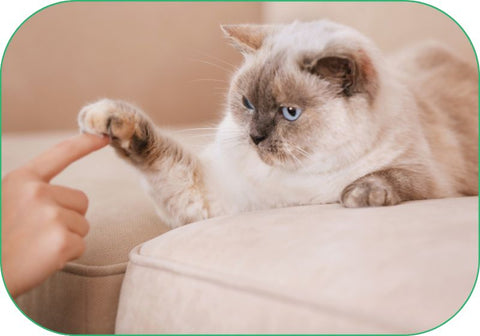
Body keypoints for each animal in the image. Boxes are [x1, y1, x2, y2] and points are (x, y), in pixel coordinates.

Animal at [77, 19, 478, 228]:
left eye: (290, 113)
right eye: (247, 104)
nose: (255, 137)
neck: (295, 181)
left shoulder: (433, 178)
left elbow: (391, 177)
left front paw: (357, 196)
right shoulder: (212, 197)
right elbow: (155, 152)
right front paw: (105, 119)